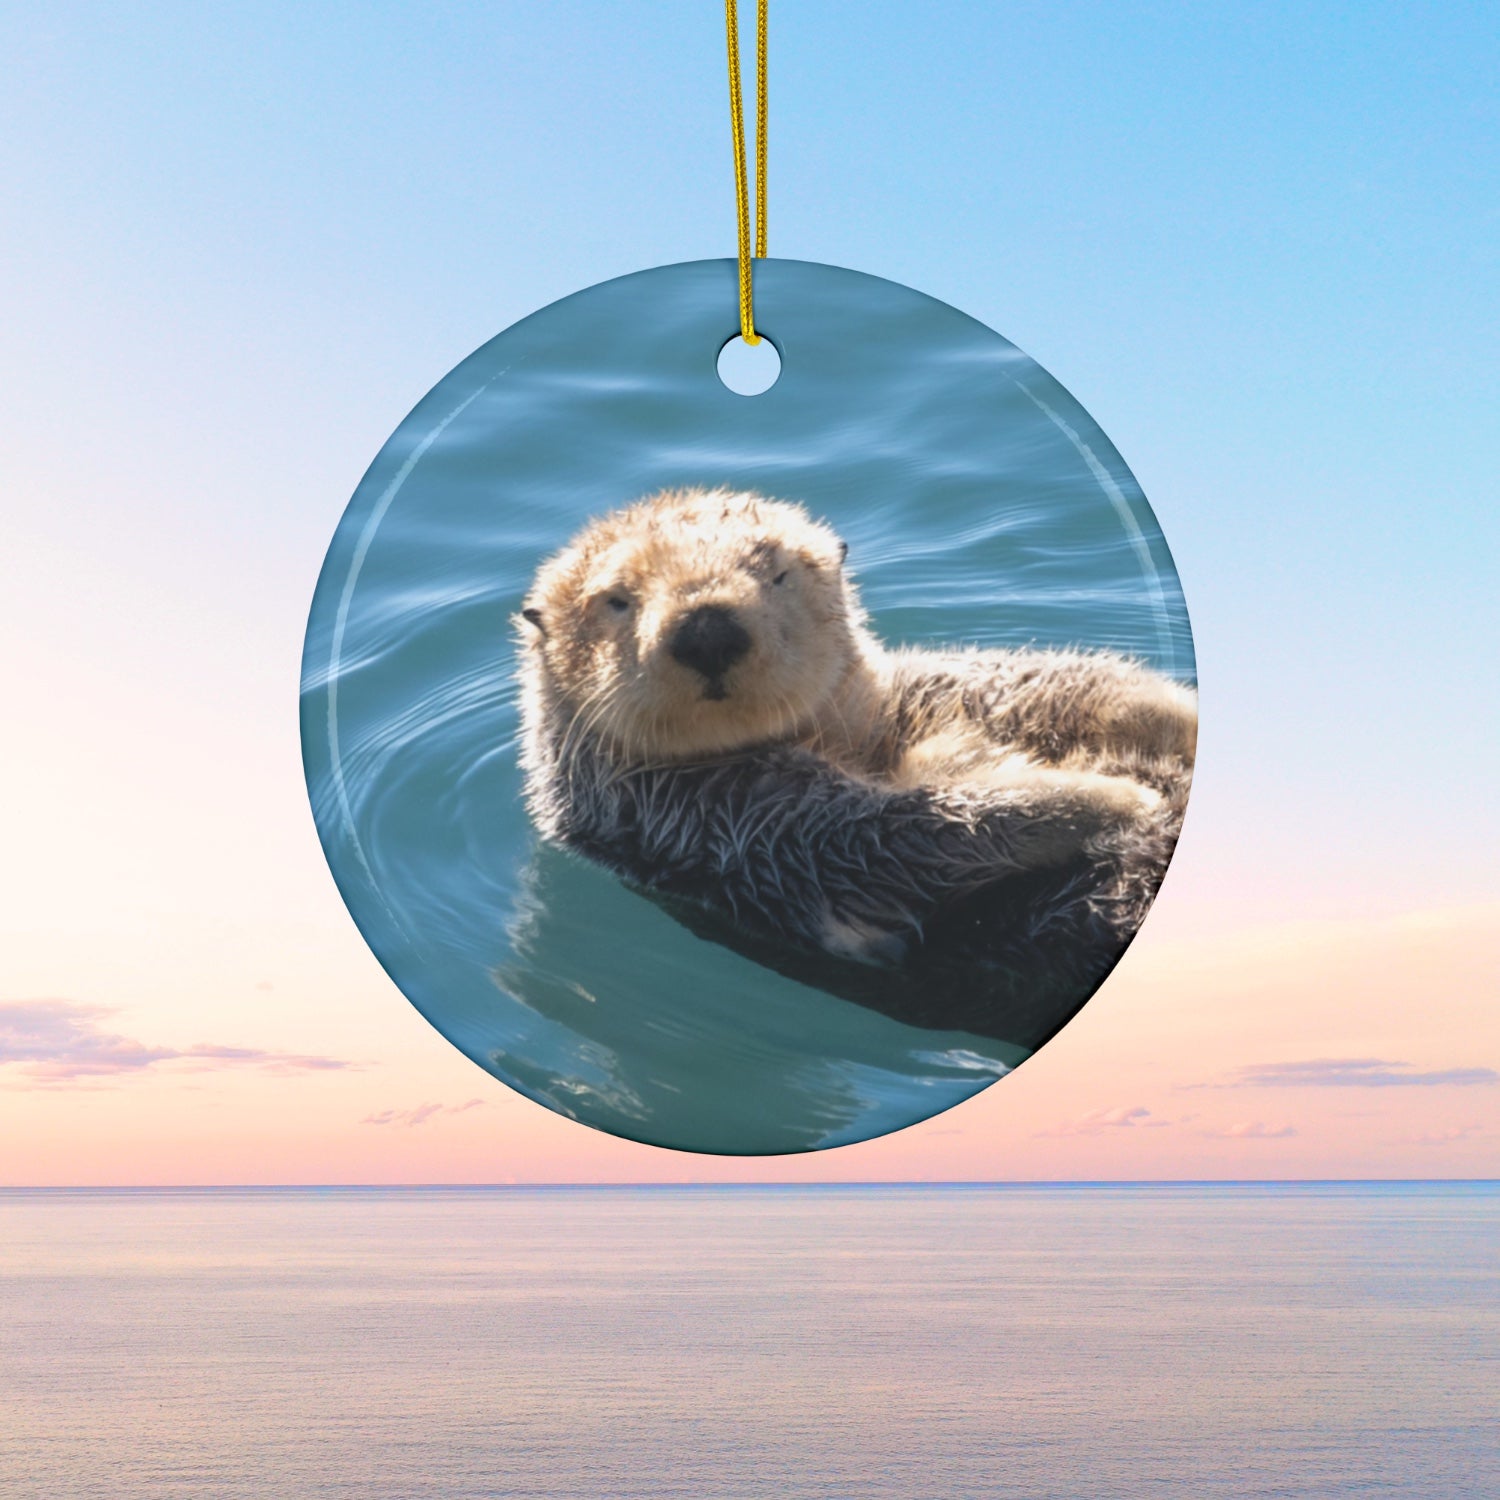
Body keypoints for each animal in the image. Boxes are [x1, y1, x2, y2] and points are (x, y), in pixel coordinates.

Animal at [516, 487, 1195, 1041]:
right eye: (616, 600)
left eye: (777, 574)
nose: (707, 629)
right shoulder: (723, 823)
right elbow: (892, 835)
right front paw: (1114, 800)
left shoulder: (898, 700)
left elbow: (1017, 685)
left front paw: (1165, 710)